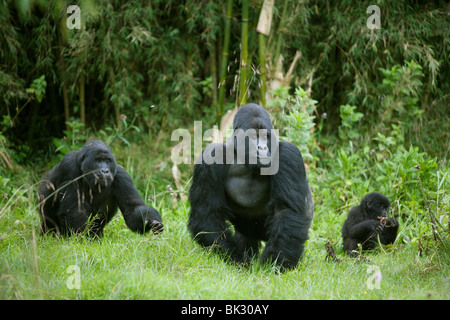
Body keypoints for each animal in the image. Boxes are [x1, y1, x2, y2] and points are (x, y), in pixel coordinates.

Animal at [186, 104, 312, 272]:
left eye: (266, 136)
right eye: (253, 137)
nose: (262, 147)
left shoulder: (288, 155)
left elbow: (285, 212)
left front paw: (276, 264)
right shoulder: (210, 157)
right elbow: (207, 214)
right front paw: (237, 259)